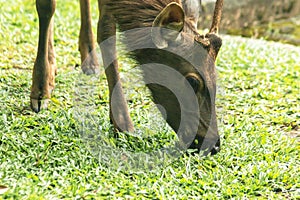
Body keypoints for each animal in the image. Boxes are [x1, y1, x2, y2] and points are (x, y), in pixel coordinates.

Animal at [31, 0, 223, 155]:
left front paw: (119, 122)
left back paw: (88, 59)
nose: (213, 145)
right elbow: (47, 7)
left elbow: (106, 30)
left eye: (215, 76)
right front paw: (40, 91)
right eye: (193, 81)